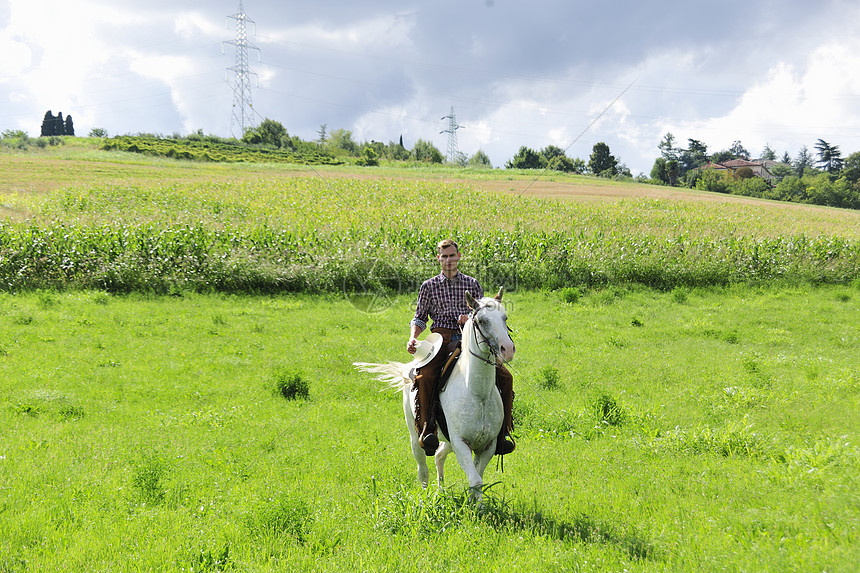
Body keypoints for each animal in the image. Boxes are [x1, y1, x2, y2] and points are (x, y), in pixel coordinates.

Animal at [354, 286, 512, 500]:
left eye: (504, 317)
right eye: (481, 321)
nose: (508, 349)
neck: (478, 394)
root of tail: (409, 368)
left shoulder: (488, 446)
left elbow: (478, 482)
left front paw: (476, 505)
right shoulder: (461, 443)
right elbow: (476, 481)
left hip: (447, 440)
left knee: (439, 456)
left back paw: (441, 490)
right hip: (416, 436)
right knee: (423, 470)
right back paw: (426, 497)